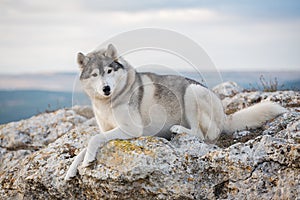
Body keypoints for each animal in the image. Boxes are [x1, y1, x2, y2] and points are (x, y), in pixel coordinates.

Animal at [64, 44, 284, 181]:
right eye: (95, 75)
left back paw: (178, 130)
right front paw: (71, 170)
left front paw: (88, 160)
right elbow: (85, 146)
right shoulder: (107, 129)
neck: (107, 103)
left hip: (191, 93)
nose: (106, 88)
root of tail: (224, 114)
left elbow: (93, 139)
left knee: (201, 134)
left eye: (109, 71)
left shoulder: (131, 129)